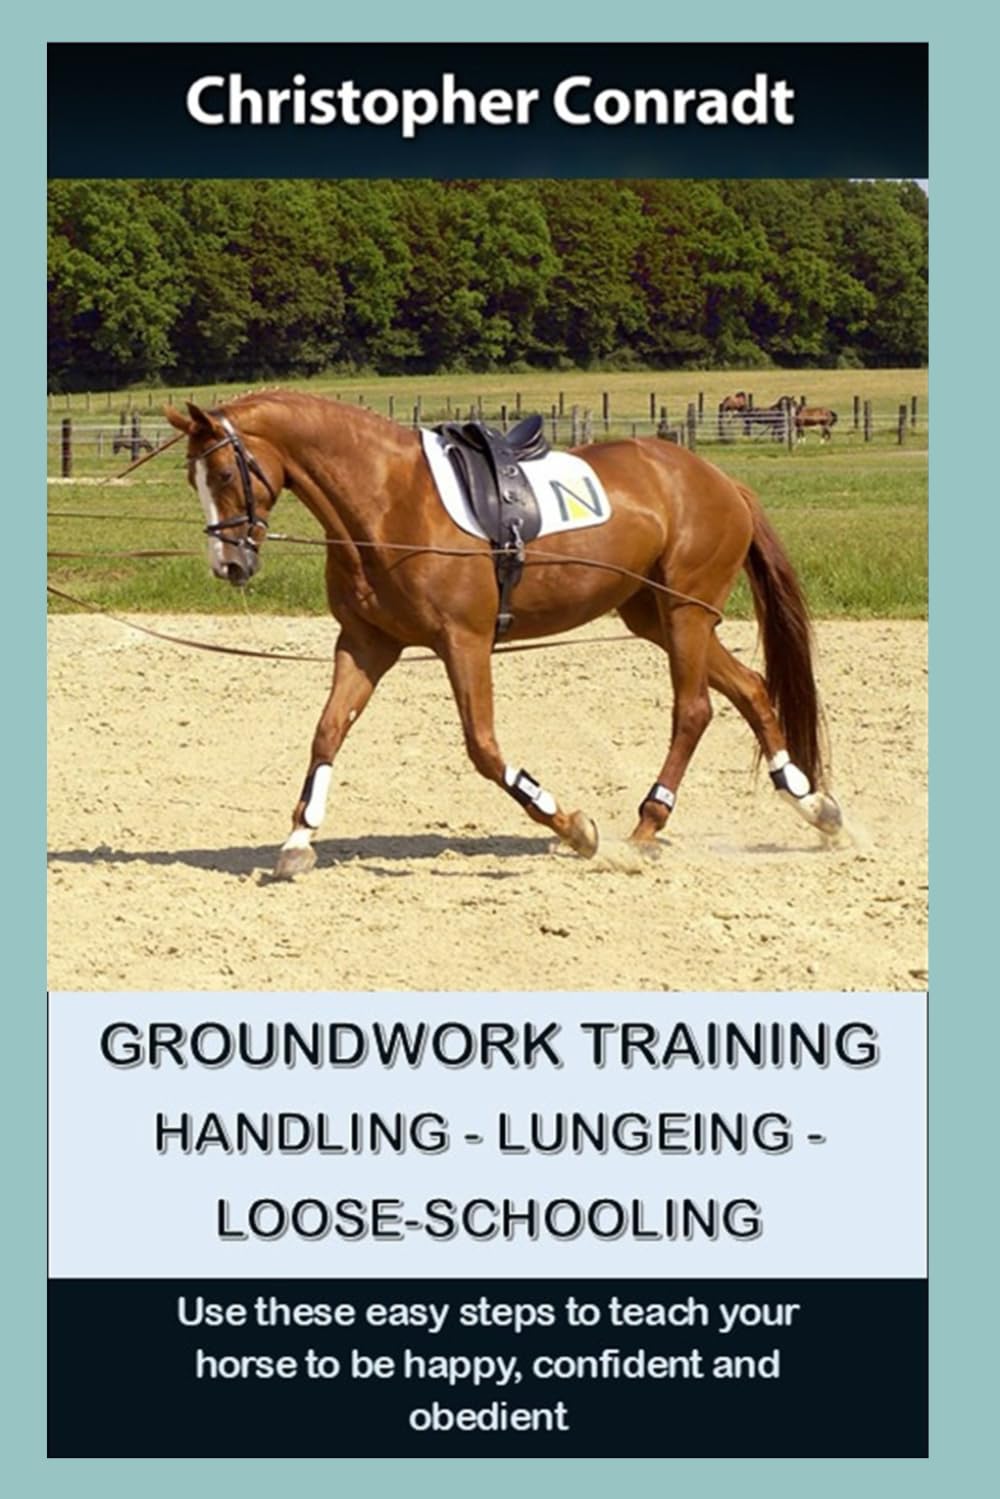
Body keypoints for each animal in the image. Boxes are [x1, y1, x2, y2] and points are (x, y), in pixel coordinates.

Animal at [164, 391, 841, 878]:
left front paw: (573, 827)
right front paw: (299, 838)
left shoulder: (463, 643)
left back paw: (647, 826)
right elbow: (328, 731)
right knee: (750, 688)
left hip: (685, 614)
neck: (387, 499)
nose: (228, 566)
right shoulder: (366, 643)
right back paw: (812, 805)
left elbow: (485, 750)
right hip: (653, 615)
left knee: (694, 709)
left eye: (223, 472)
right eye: (194, 479)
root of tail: (720, 481)